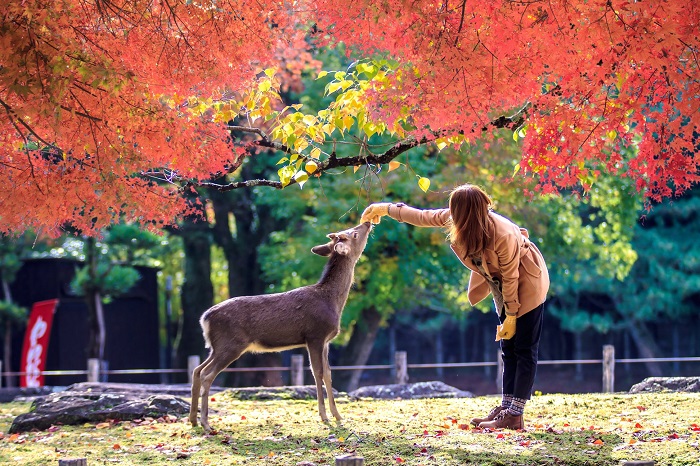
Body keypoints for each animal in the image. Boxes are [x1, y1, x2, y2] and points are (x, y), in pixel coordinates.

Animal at [186, 220, 372, 432]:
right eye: (354, 234)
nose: (367, 222)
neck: (333, 302)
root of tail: (204, 318)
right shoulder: (315, 335)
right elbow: (317, 373)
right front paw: (324, 417)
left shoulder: (326, 341)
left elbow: (328, 374)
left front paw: (338, 416)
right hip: (231, 344)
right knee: (207, 374)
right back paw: (206, 423)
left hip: (217, 346)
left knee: (197, 370)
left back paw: (193, 420)